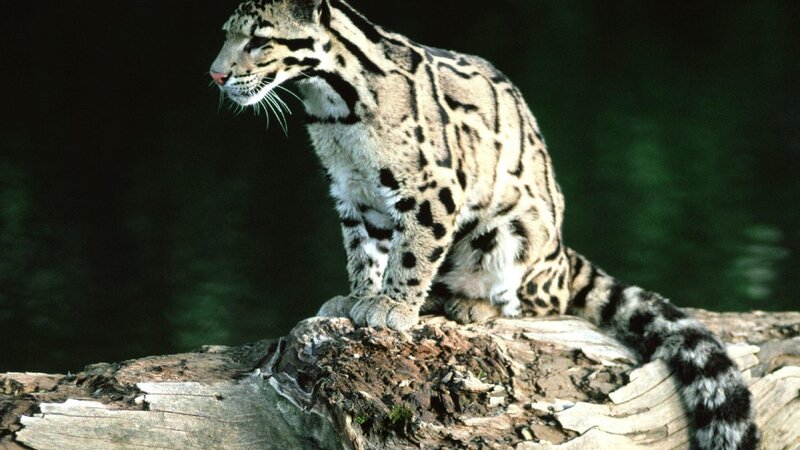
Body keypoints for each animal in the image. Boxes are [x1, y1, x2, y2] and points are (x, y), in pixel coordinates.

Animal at [209, 1, 759, 448]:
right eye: (227, 34)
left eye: (258, 40)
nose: (215, 75)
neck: (333, 108)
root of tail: (563, 256)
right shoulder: (352, 192)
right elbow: (364, 250)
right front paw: (357, 296)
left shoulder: (434, 187)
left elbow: (412, 252)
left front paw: (391, 307)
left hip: (509, 234)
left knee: (534, 302)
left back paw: (471, 304)